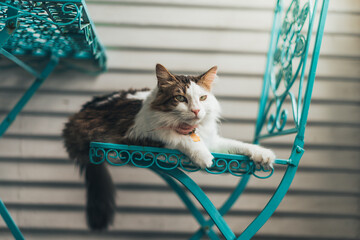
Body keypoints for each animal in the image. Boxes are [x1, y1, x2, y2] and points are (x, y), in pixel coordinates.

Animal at [62, 63, 276, 231]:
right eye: (180, 98)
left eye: (203, 98)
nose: (196, 110)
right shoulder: (137, 134)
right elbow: (175, 137)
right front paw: (203, 156)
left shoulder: (212, 140)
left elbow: (238, 145)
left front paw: (262, 153)